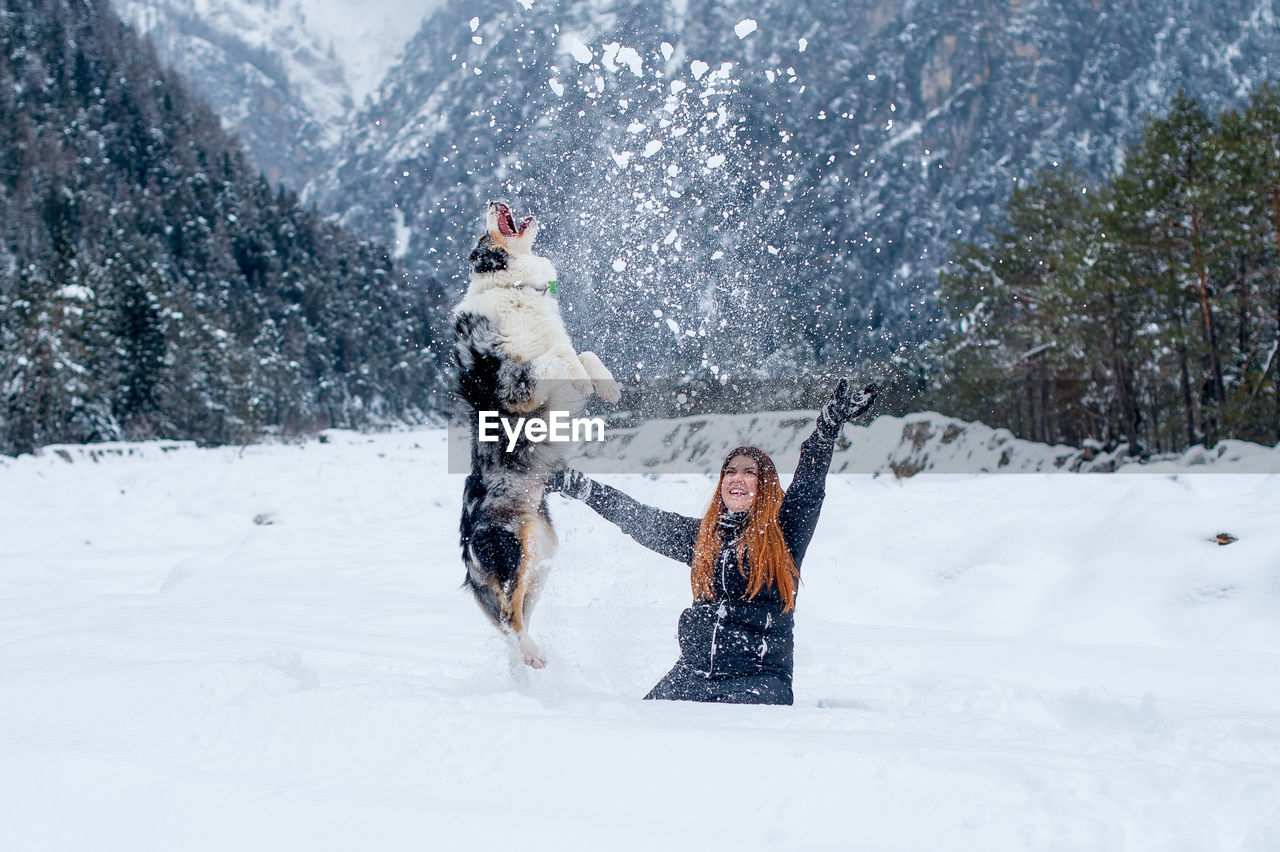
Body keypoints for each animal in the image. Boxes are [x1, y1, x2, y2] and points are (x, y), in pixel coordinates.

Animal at [455, 202, 619, 665]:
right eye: (482, 234)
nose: (494, 201)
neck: (513, 288)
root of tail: (467, 556)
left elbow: (583, 352)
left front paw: (607, 386)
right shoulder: (515, 385)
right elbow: (562, 354)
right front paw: (582, 379)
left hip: (543, 553)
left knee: (517, 614)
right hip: (515, 546)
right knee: (509, 615)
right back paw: (530, 654)